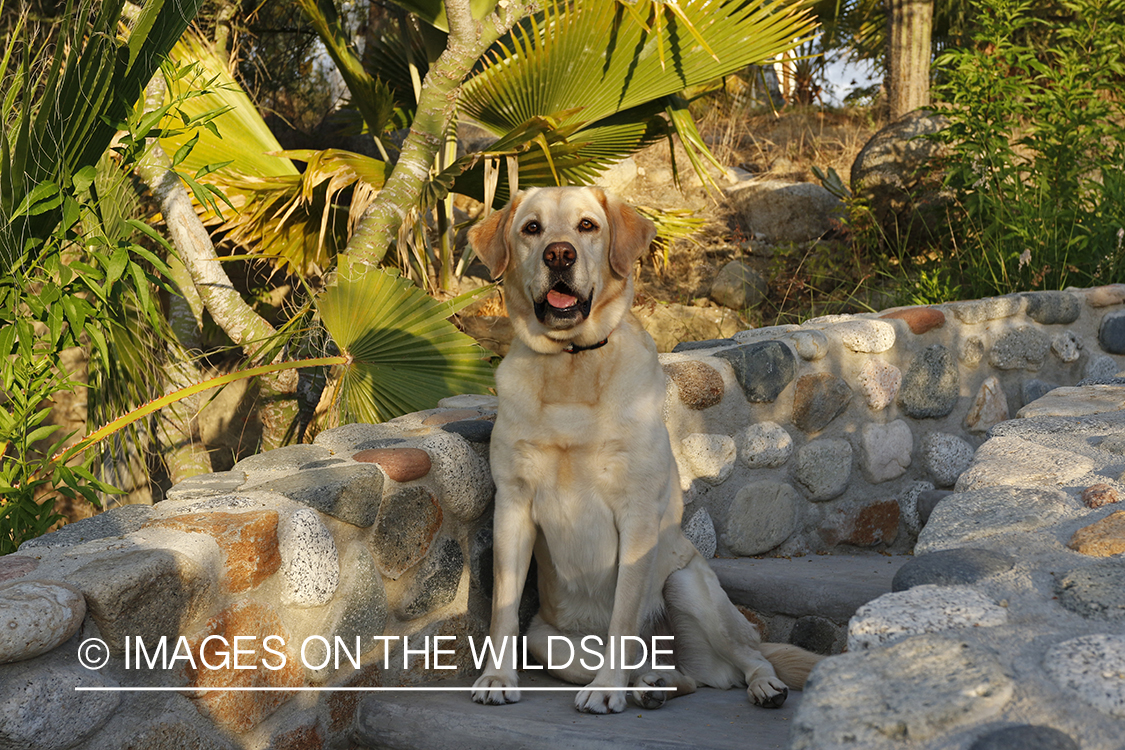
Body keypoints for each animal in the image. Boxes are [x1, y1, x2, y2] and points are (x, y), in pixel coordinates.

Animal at [465, 184, 819, 715]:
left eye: (587, 226)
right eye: (532, 228)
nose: (559, 254)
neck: (572, 367)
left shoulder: (636, 514)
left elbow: (623, 616)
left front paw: (607, 689)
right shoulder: (512, 507)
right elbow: (503, 610)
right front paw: (498, 678)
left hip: (686, 582)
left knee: (750, 657)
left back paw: (757, 686)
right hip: (549, 640)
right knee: (677, 675)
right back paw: (650, 683)